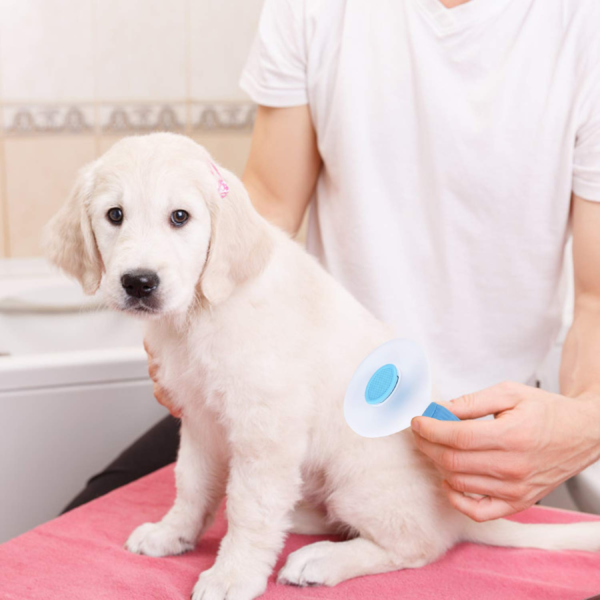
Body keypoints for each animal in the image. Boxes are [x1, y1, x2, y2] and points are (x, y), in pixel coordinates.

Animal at [45, 135, 600, 600]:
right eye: (115, 215)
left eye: (180, 217)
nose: (139, 282)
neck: (202, 316)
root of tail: (458, 515)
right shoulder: (201, 422)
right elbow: (192, 484)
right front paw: (173, 534)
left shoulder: (265, 434)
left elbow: (247, 509)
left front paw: (232, 575)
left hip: (359, 481)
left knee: (417, 546)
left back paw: (322, 560)